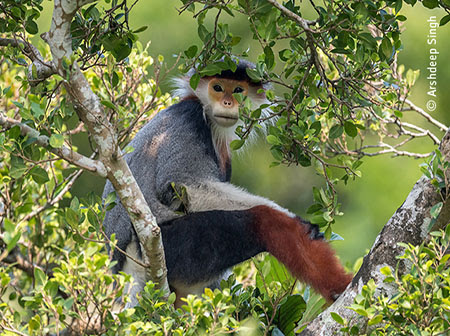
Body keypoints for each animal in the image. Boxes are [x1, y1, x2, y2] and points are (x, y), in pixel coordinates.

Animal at [103, 59, 352, 306]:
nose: (227, 102)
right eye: (218, 87)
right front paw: (293, 217)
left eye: (238, 90)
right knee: (266, 221)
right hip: (171, 247)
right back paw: (340, 285)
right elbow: (182, 183)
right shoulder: (189, 117)